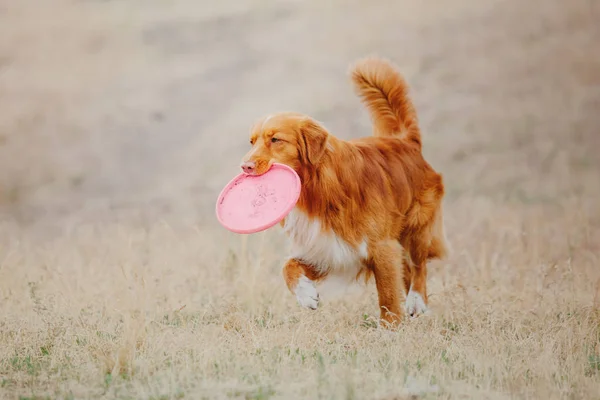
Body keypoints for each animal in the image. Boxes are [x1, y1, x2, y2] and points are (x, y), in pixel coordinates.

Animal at [241, 55, 448, 324]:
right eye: (252, 142)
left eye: (275, 140)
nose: (244, 167)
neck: (318, 191)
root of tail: (405, 140)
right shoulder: (326, 249)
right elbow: (287, 267)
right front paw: (306, 295)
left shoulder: (381, 246)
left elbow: (388, 295)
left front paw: (391, 327)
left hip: (417, 226)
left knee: (418, 264)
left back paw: (416, 301)